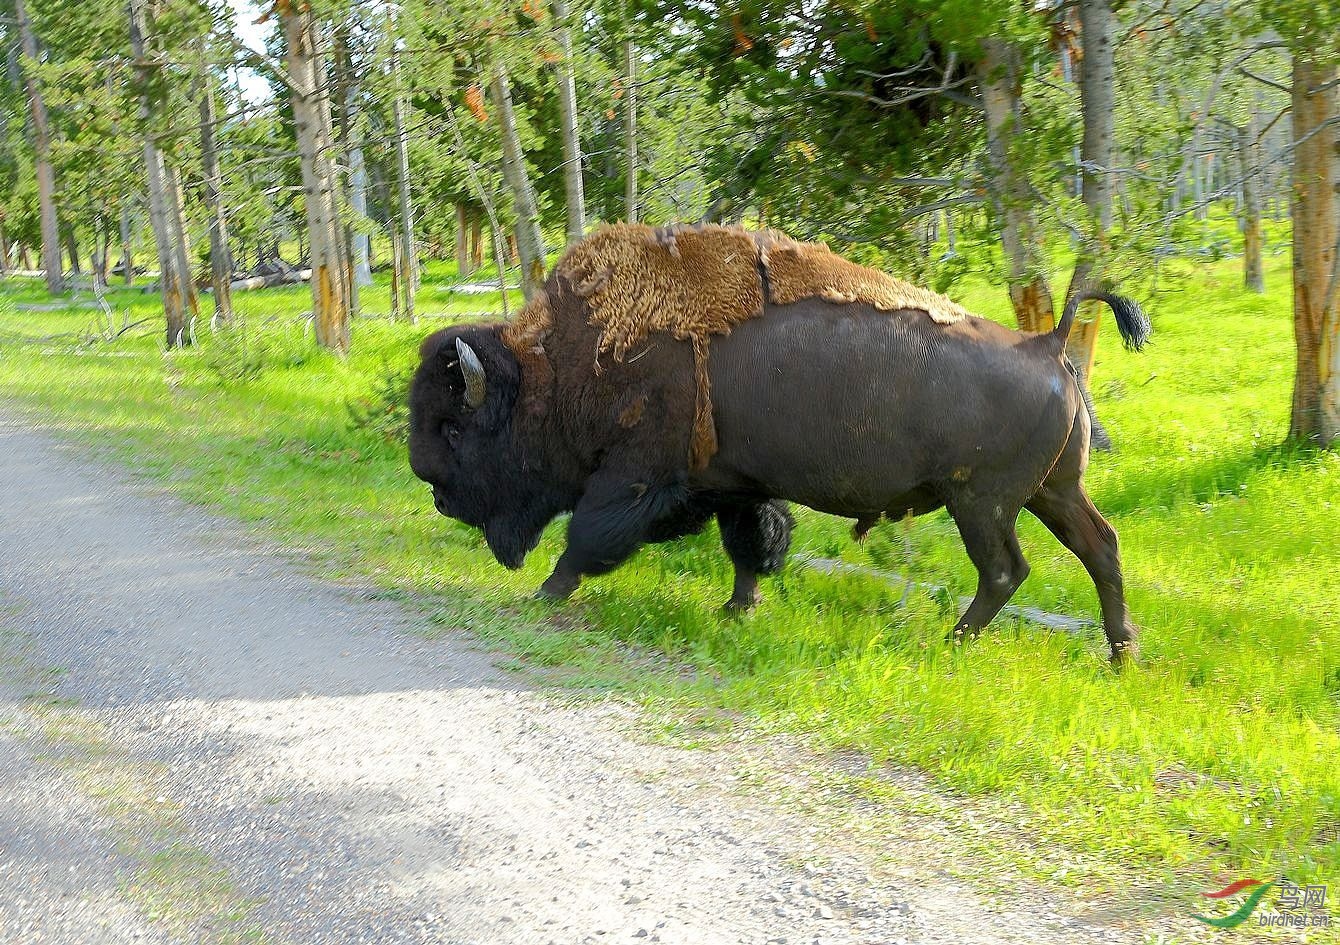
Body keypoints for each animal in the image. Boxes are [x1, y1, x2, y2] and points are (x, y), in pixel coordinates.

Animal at [410, 226, 1152, 664]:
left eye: (455, 428)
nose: (435, 489)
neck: (558, 365)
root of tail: (1047, 342)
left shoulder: (634, 477)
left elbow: (586, 539)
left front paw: (545, 594)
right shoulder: (735, 485)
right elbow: (750, 545)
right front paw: (737, 609)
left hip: (983, 502)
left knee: (1005, 569)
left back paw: (954, 641)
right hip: (1053, 491)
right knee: (1101, 548)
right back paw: (1121, 654)